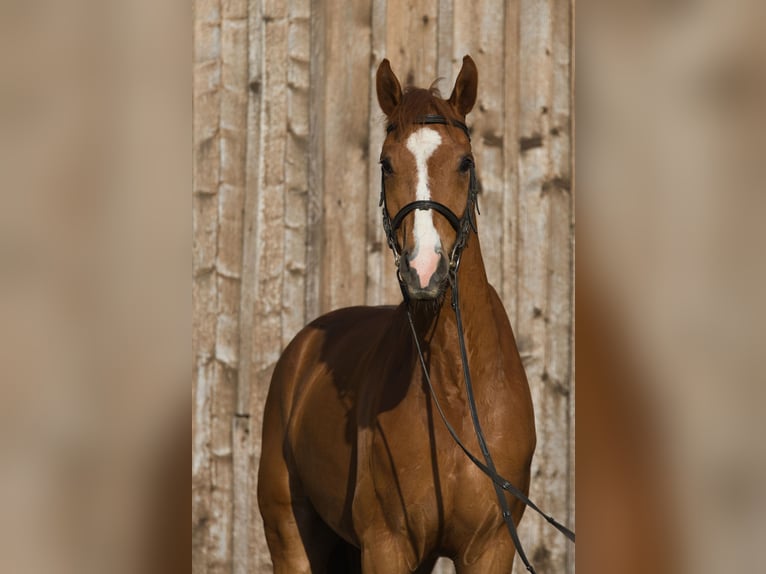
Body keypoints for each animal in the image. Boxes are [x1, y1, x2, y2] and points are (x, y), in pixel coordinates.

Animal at [258, 55, 537, 573]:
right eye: (387, 164)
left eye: (466, 163)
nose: (423, 269)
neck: (452, 393)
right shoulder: (387, 544)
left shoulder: (491, 547)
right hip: (290, 535)